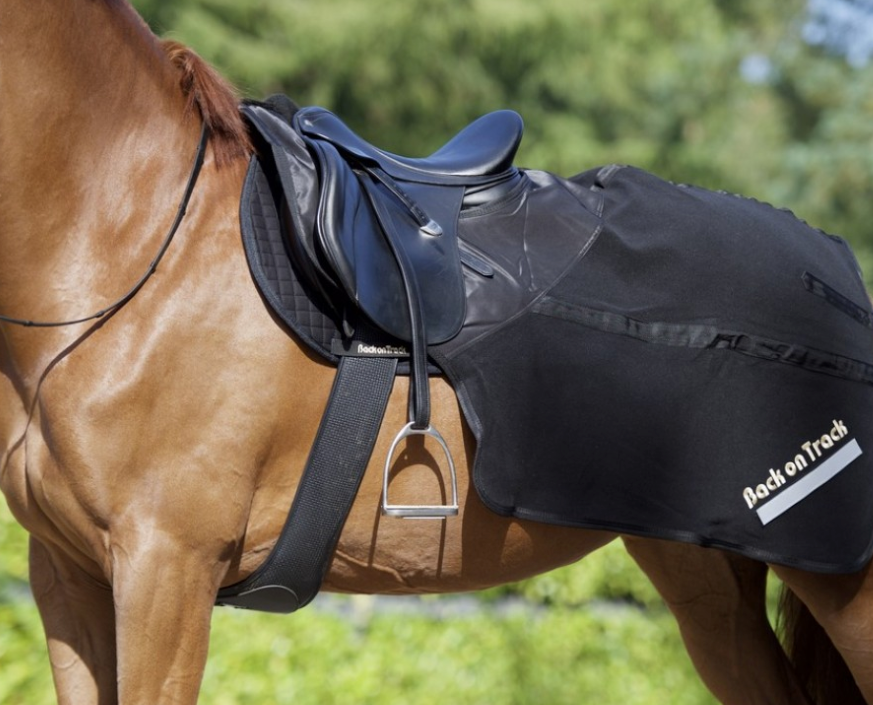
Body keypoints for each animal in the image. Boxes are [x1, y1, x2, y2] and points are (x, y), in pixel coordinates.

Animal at [2, 1, 873, 703]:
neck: (137, 241)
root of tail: (833, 265)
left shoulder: (166, 570)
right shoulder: (71, 579)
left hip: (839, 578)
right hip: (708, 585)